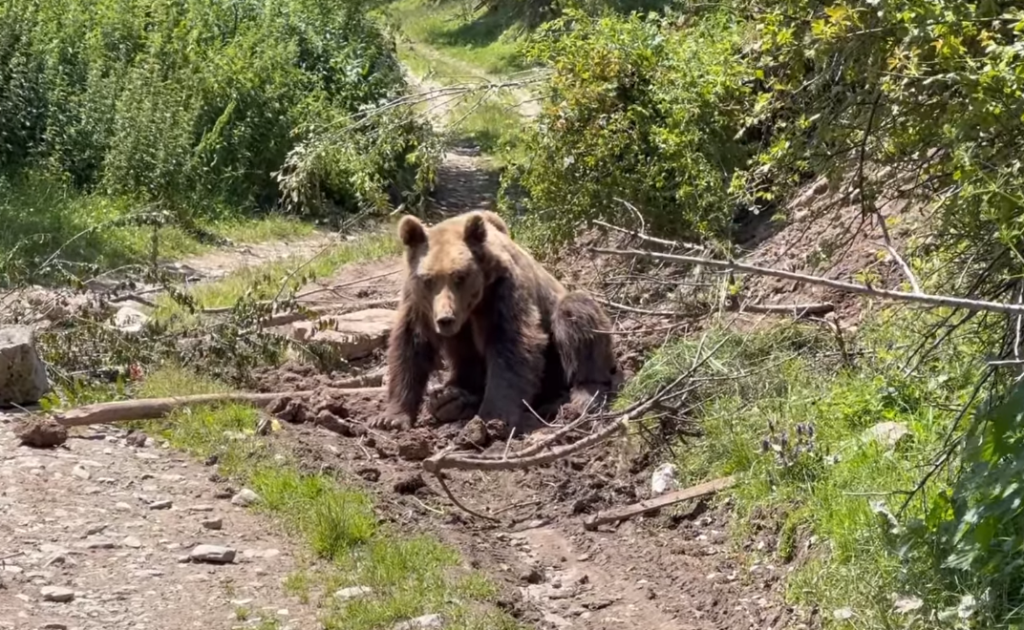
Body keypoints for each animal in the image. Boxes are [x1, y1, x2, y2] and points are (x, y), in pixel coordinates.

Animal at [372, 212, 618, 434]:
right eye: (428, 280)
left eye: (459, 276)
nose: (445, 319)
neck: (472, 306)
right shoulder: (418, 305)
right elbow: (411, 347)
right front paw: (392, 418)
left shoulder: (502, 291)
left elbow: (512, 346)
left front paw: (492, 417)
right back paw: (450, 399)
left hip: (560, 350)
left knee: (576, 315)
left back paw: (579, 396)